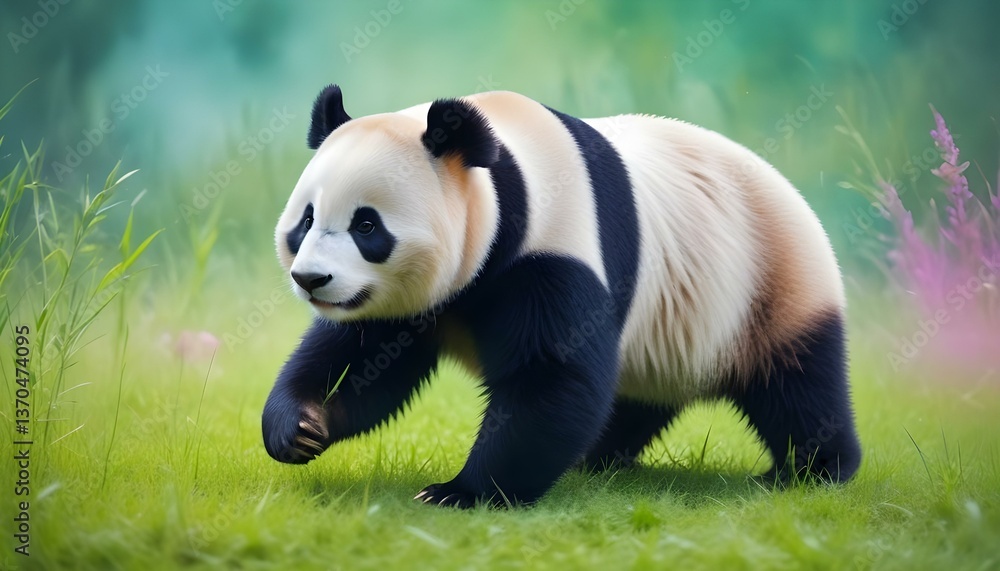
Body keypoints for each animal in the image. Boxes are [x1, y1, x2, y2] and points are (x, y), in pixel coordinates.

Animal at [261, 84, 861, 508]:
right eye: (306, 219)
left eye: (367, 225)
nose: (311, 280)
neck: (508, 173)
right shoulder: (404, 302)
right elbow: (363, 358)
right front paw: (302, 427)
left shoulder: (555, 247)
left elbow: (552, 377)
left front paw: (460, 492)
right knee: (630, 394)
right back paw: (597, 457)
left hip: (772, 280)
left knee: (799, 384)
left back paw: (814, 470)